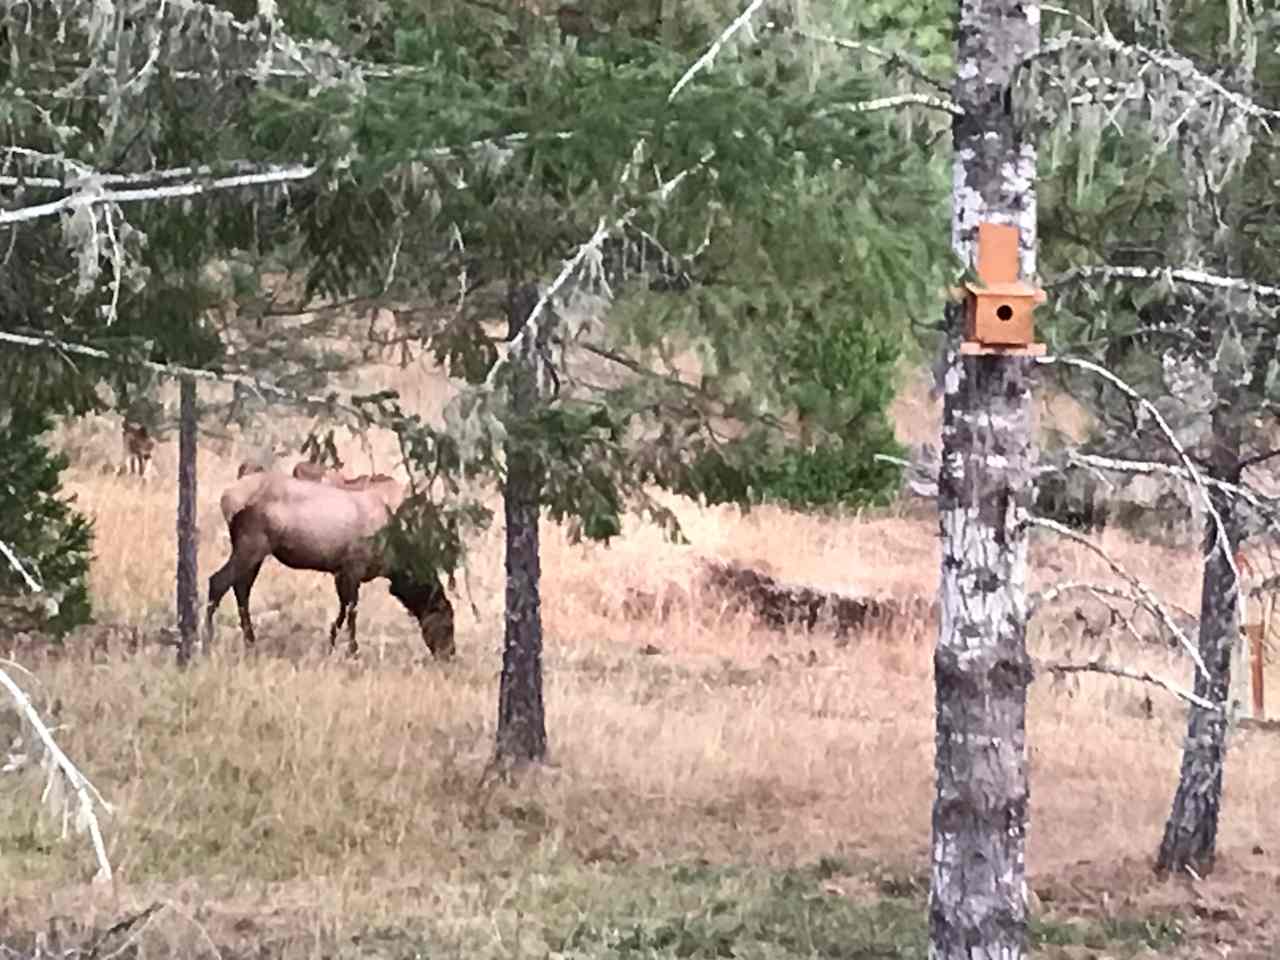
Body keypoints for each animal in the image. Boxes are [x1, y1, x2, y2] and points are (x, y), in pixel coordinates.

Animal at [206, 473, 455, 660]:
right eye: (448, 623)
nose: (450, 655)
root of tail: (226, 499)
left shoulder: (340, 571)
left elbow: (342, 610)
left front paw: (332, 642)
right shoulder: (353, 568)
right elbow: (352, 611)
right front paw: (353, 651)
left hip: (255, 553)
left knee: (241, 588)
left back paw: (250, 641)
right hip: (251, 545)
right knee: (218, 581)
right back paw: (207, 637)